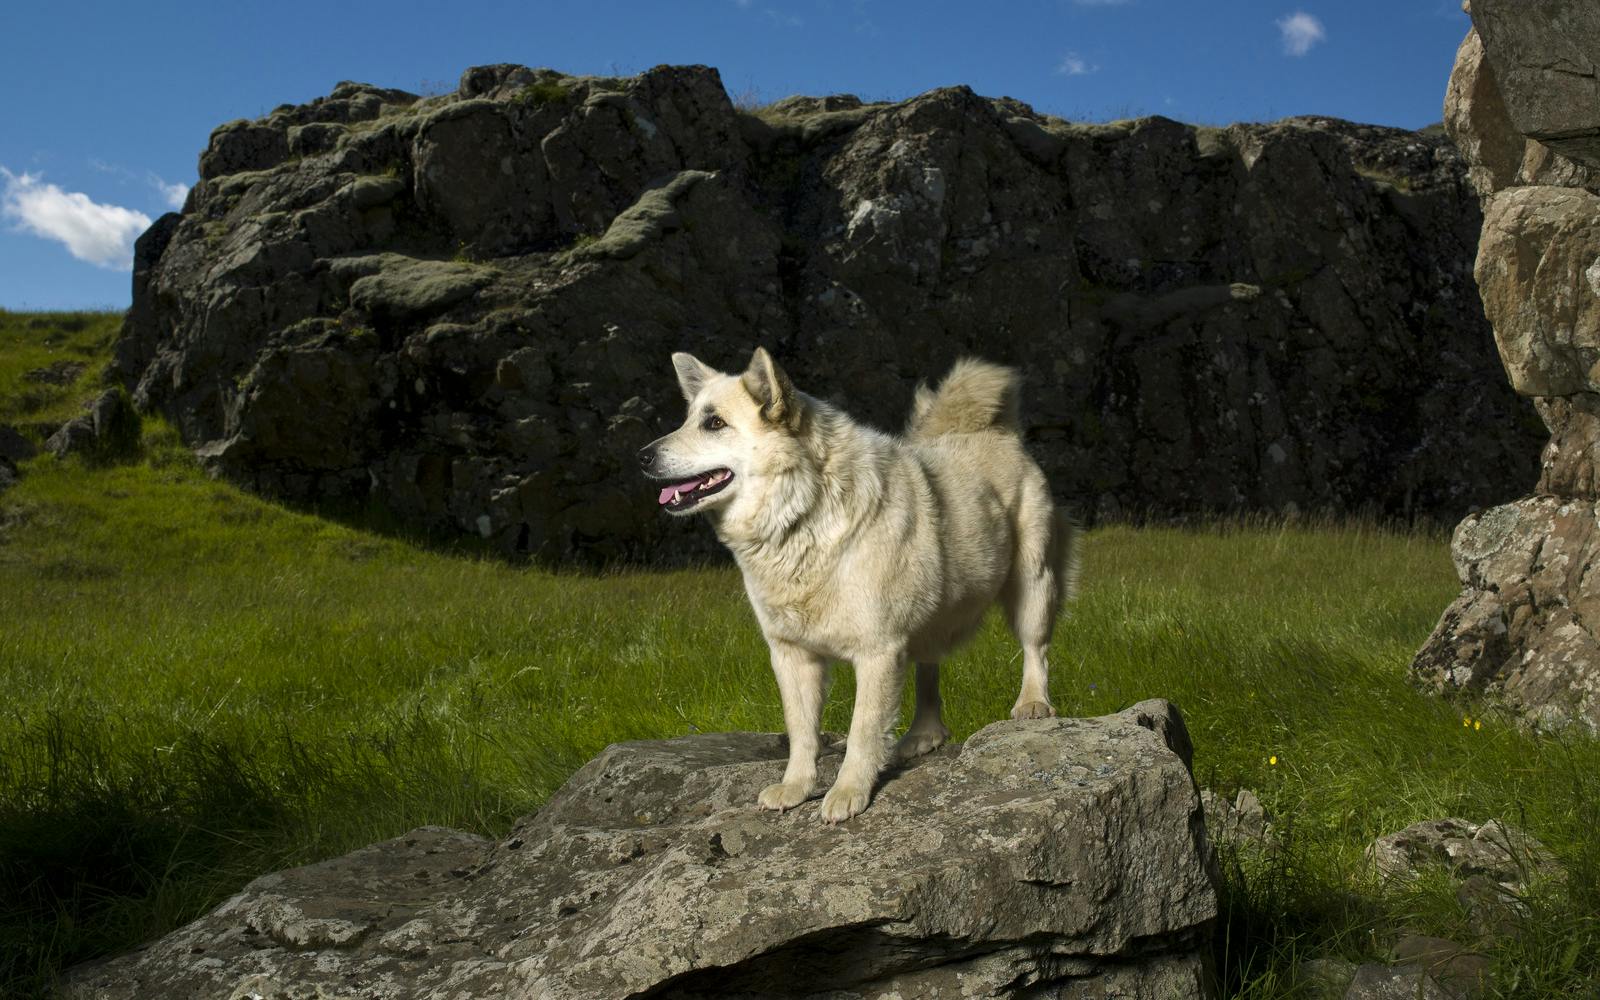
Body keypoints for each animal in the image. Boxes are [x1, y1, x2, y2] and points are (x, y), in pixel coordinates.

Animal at [633, 347, 1075, 825]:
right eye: (688, 418)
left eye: (714, 423)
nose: (642, 457)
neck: (803, 513)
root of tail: (992, 431)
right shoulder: (792, 656)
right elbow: (801, 731)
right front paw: (796, 787)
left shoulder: (878, 651)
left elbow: (863, 730)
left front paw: (848, 792)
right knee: (929, 669)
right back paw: (924, 735)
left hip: (1032, 586)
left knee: (1035, 648)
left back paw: (1032, 703)